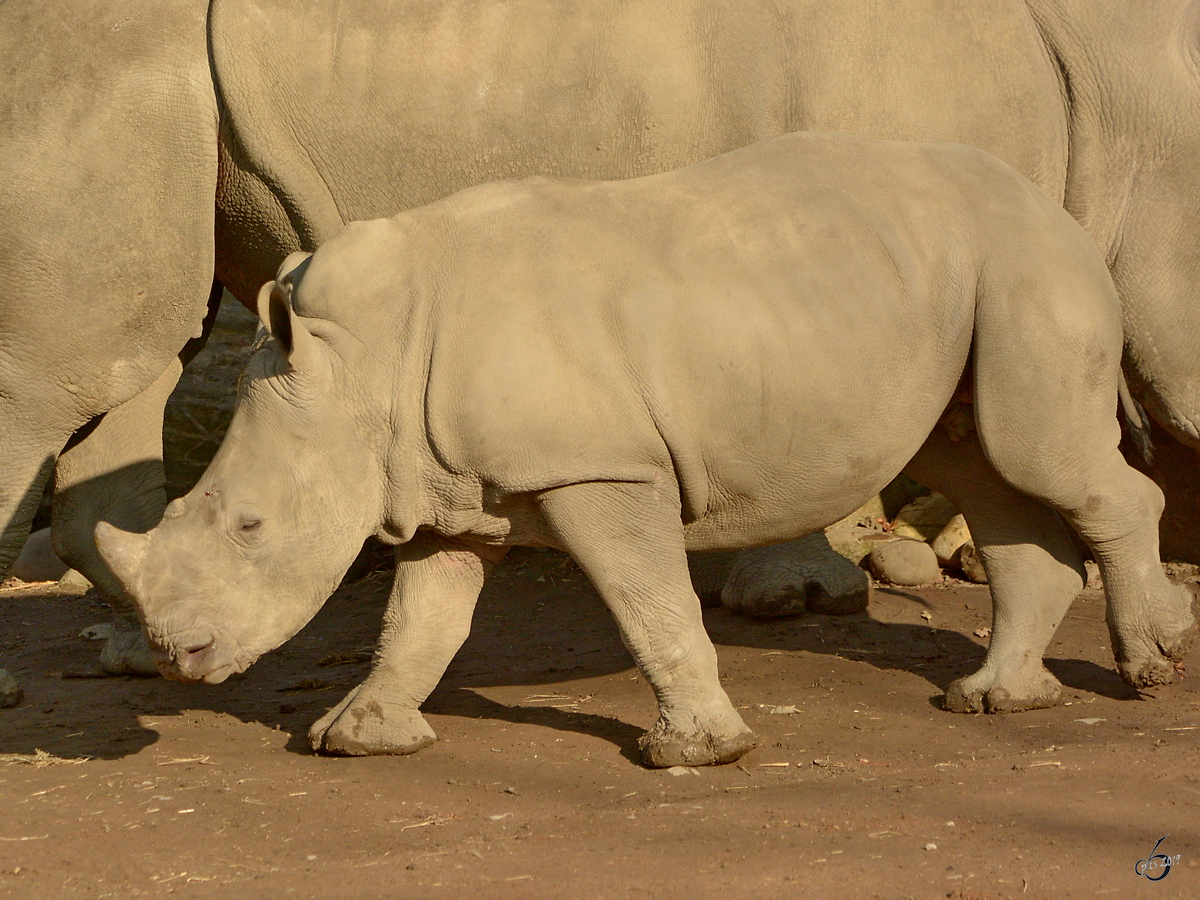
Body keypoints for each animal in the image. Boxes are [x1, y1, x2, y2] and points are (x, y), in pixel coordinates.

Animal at [91, 133, 1190, 768]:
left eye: (249, 524)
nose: (174, 660)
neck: (364, 360)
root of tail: (1057, 206)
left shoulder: (599, 467)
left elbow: (643, 598)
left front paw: (699, 755)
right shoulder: (449, 487)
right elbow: (420, 618)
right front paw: (356, 739)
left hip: (1025, 265)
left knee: (1039, 456)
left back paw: (1150, 670)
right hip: (958, 275)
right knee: (981, 459)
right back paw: (993, 702)